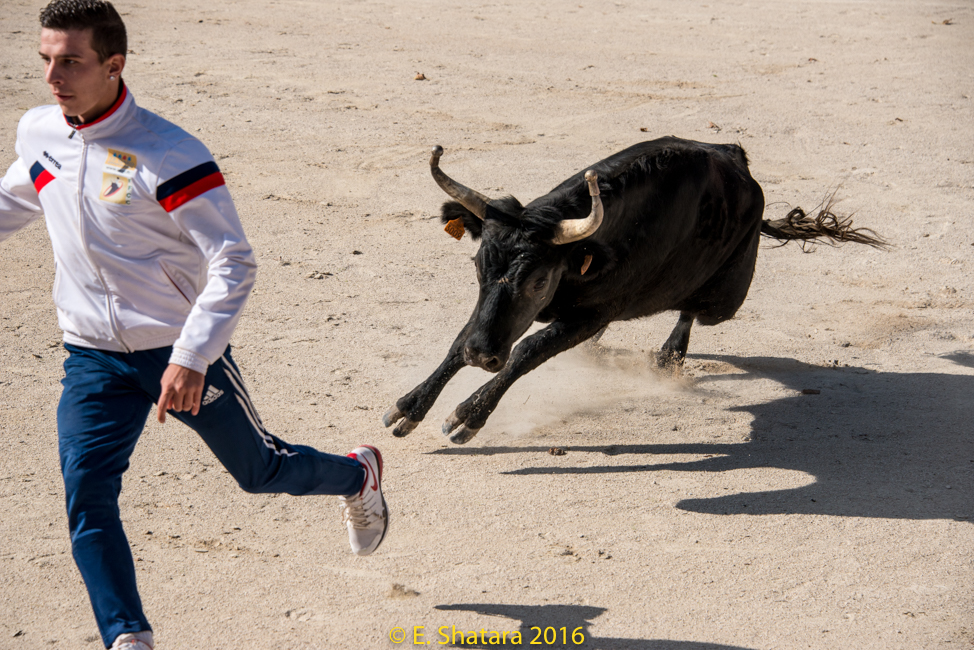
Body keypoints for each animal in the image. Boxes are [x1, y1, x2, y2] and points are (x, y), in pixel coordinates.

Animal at [383, 138, 886, 444]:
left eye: (539, 280)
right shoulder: (494, 315)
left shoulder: (593, 315)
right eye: (477, 266)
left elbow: (526, 351)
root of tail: (736, 157)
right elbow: (461, 337)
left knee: (693, 312)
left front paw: (468, 416)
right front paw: (409, 406)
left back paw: (668, 357)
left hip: (726, 297)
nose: (482, 355)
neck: (583, 254)